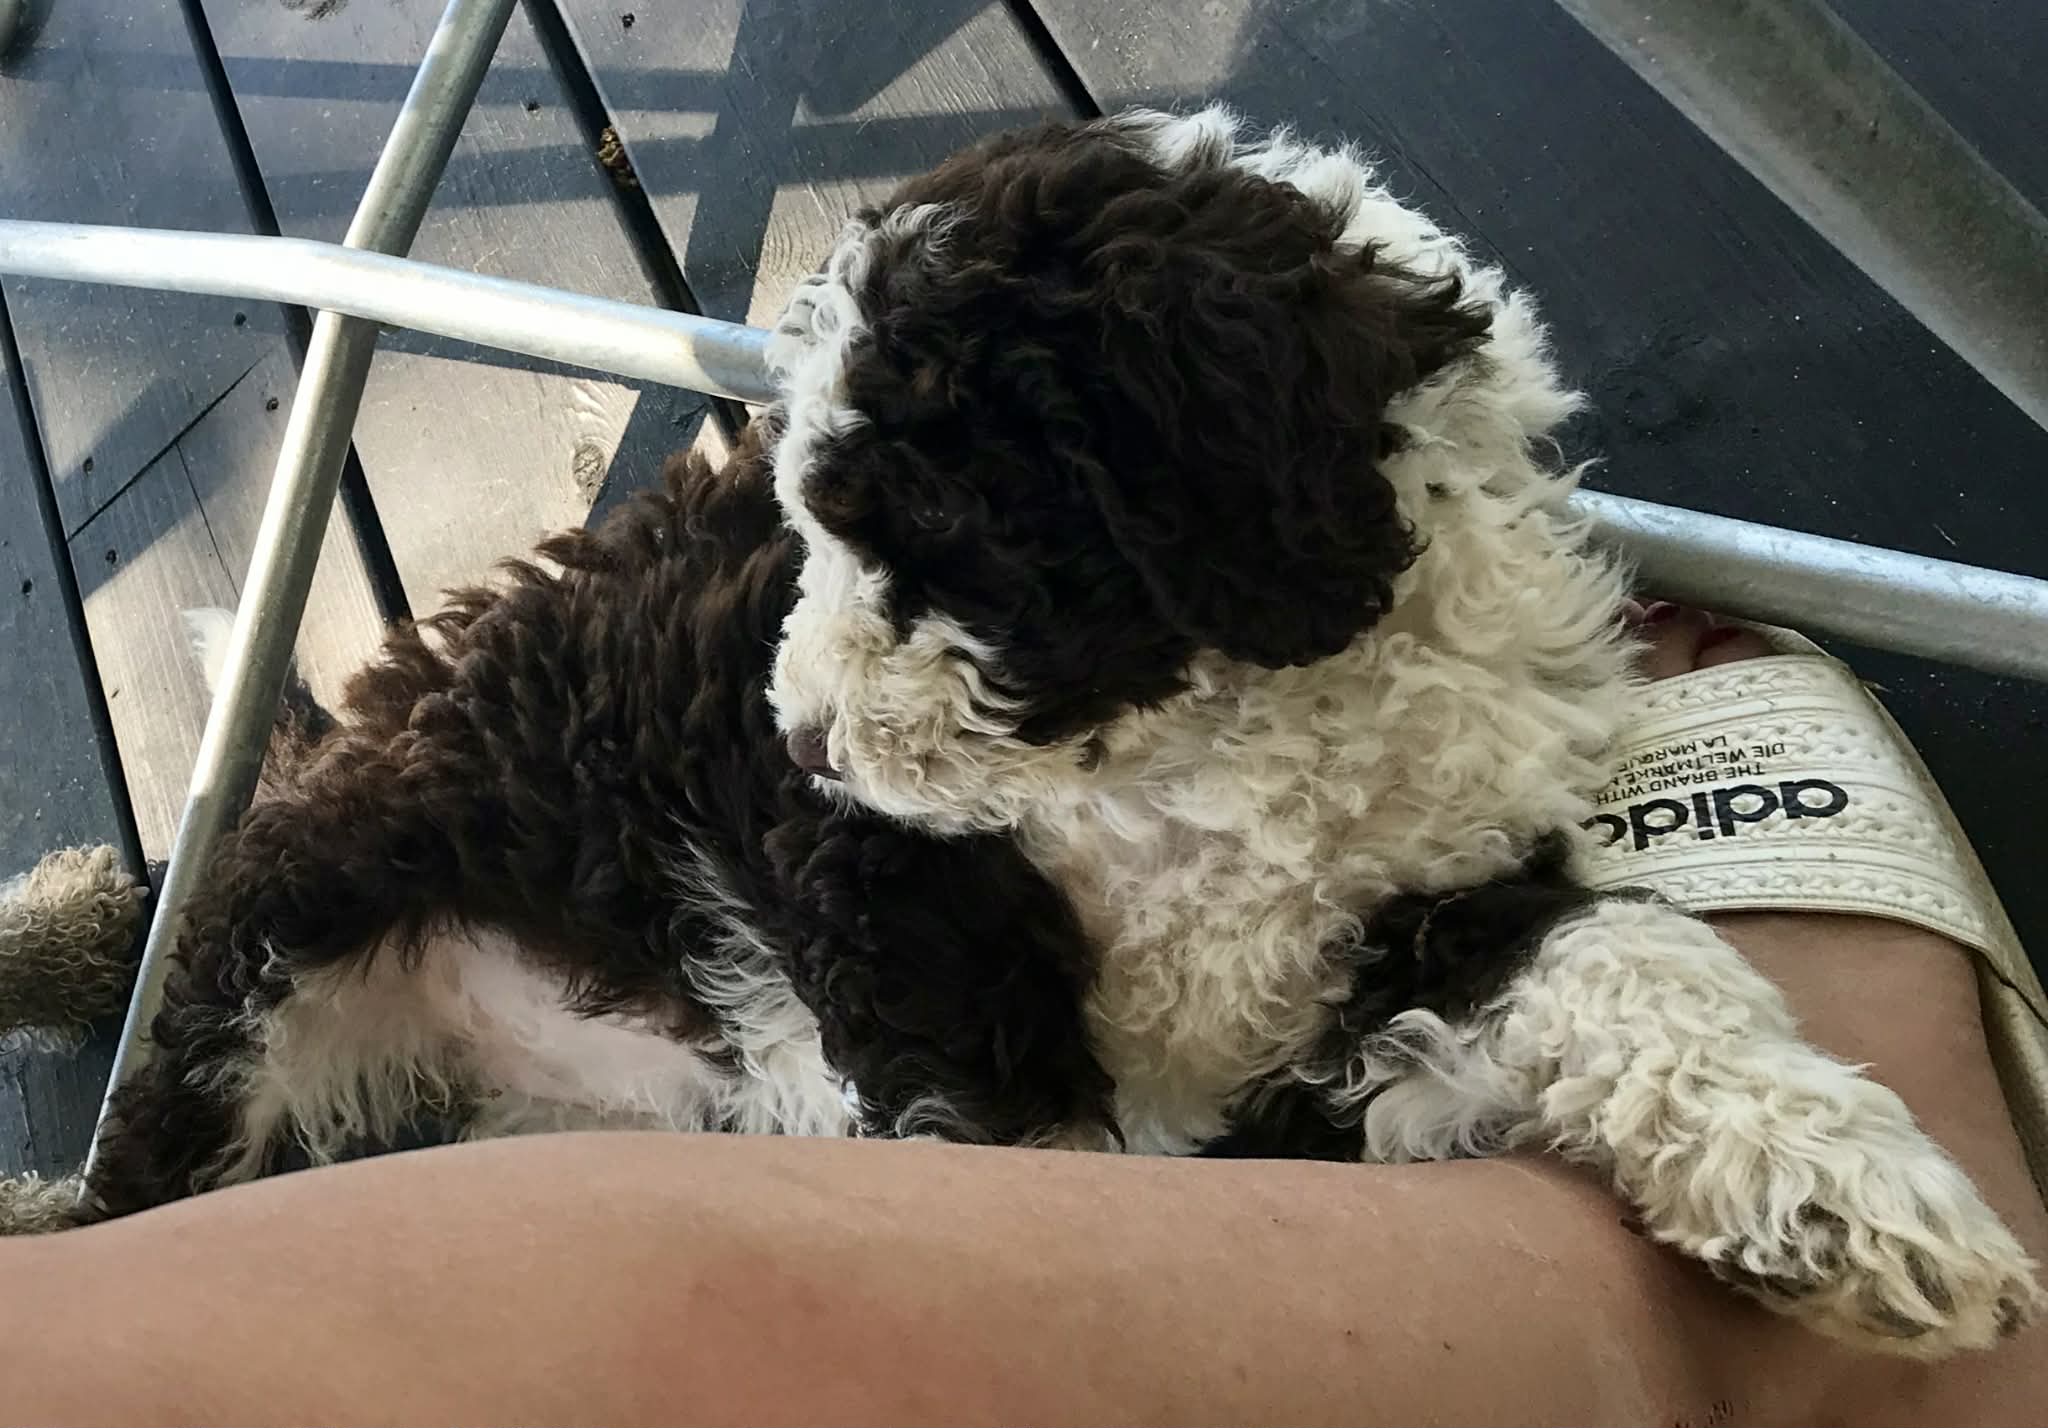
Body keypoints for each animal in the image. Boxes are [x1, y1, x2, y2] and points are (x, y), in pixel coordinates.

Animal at [52, 108, 2037, 1358]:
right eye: (808, 519)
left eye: (942, 528)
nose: (802, 736)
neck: (1201, 747)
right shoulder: (879, 892)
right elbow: (1005, 1133)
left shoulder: (1427, 894)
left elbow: (1624, 954)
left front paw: (1842, 1189)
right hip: (272, 963)